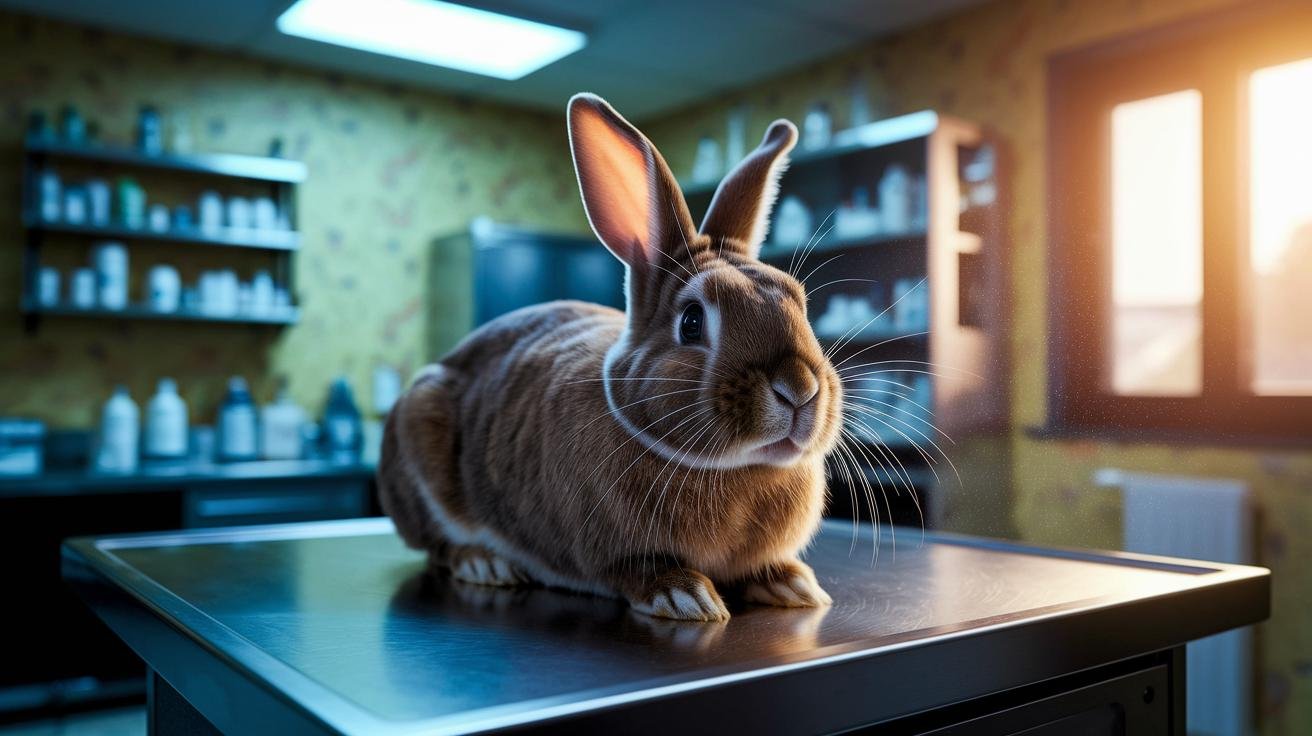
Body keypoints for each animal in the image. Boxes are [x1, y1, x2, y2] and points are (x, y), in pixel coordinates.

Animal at [378, 93, 843, 622]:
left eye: (799, 301)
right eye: (692, 322)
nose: (799, 389)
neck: (734, 467)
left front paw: (795, 585)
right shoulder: (613, 552)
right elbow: (639, 570)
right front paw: (686, 596)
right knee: (436, 546)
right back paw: (484, 563)